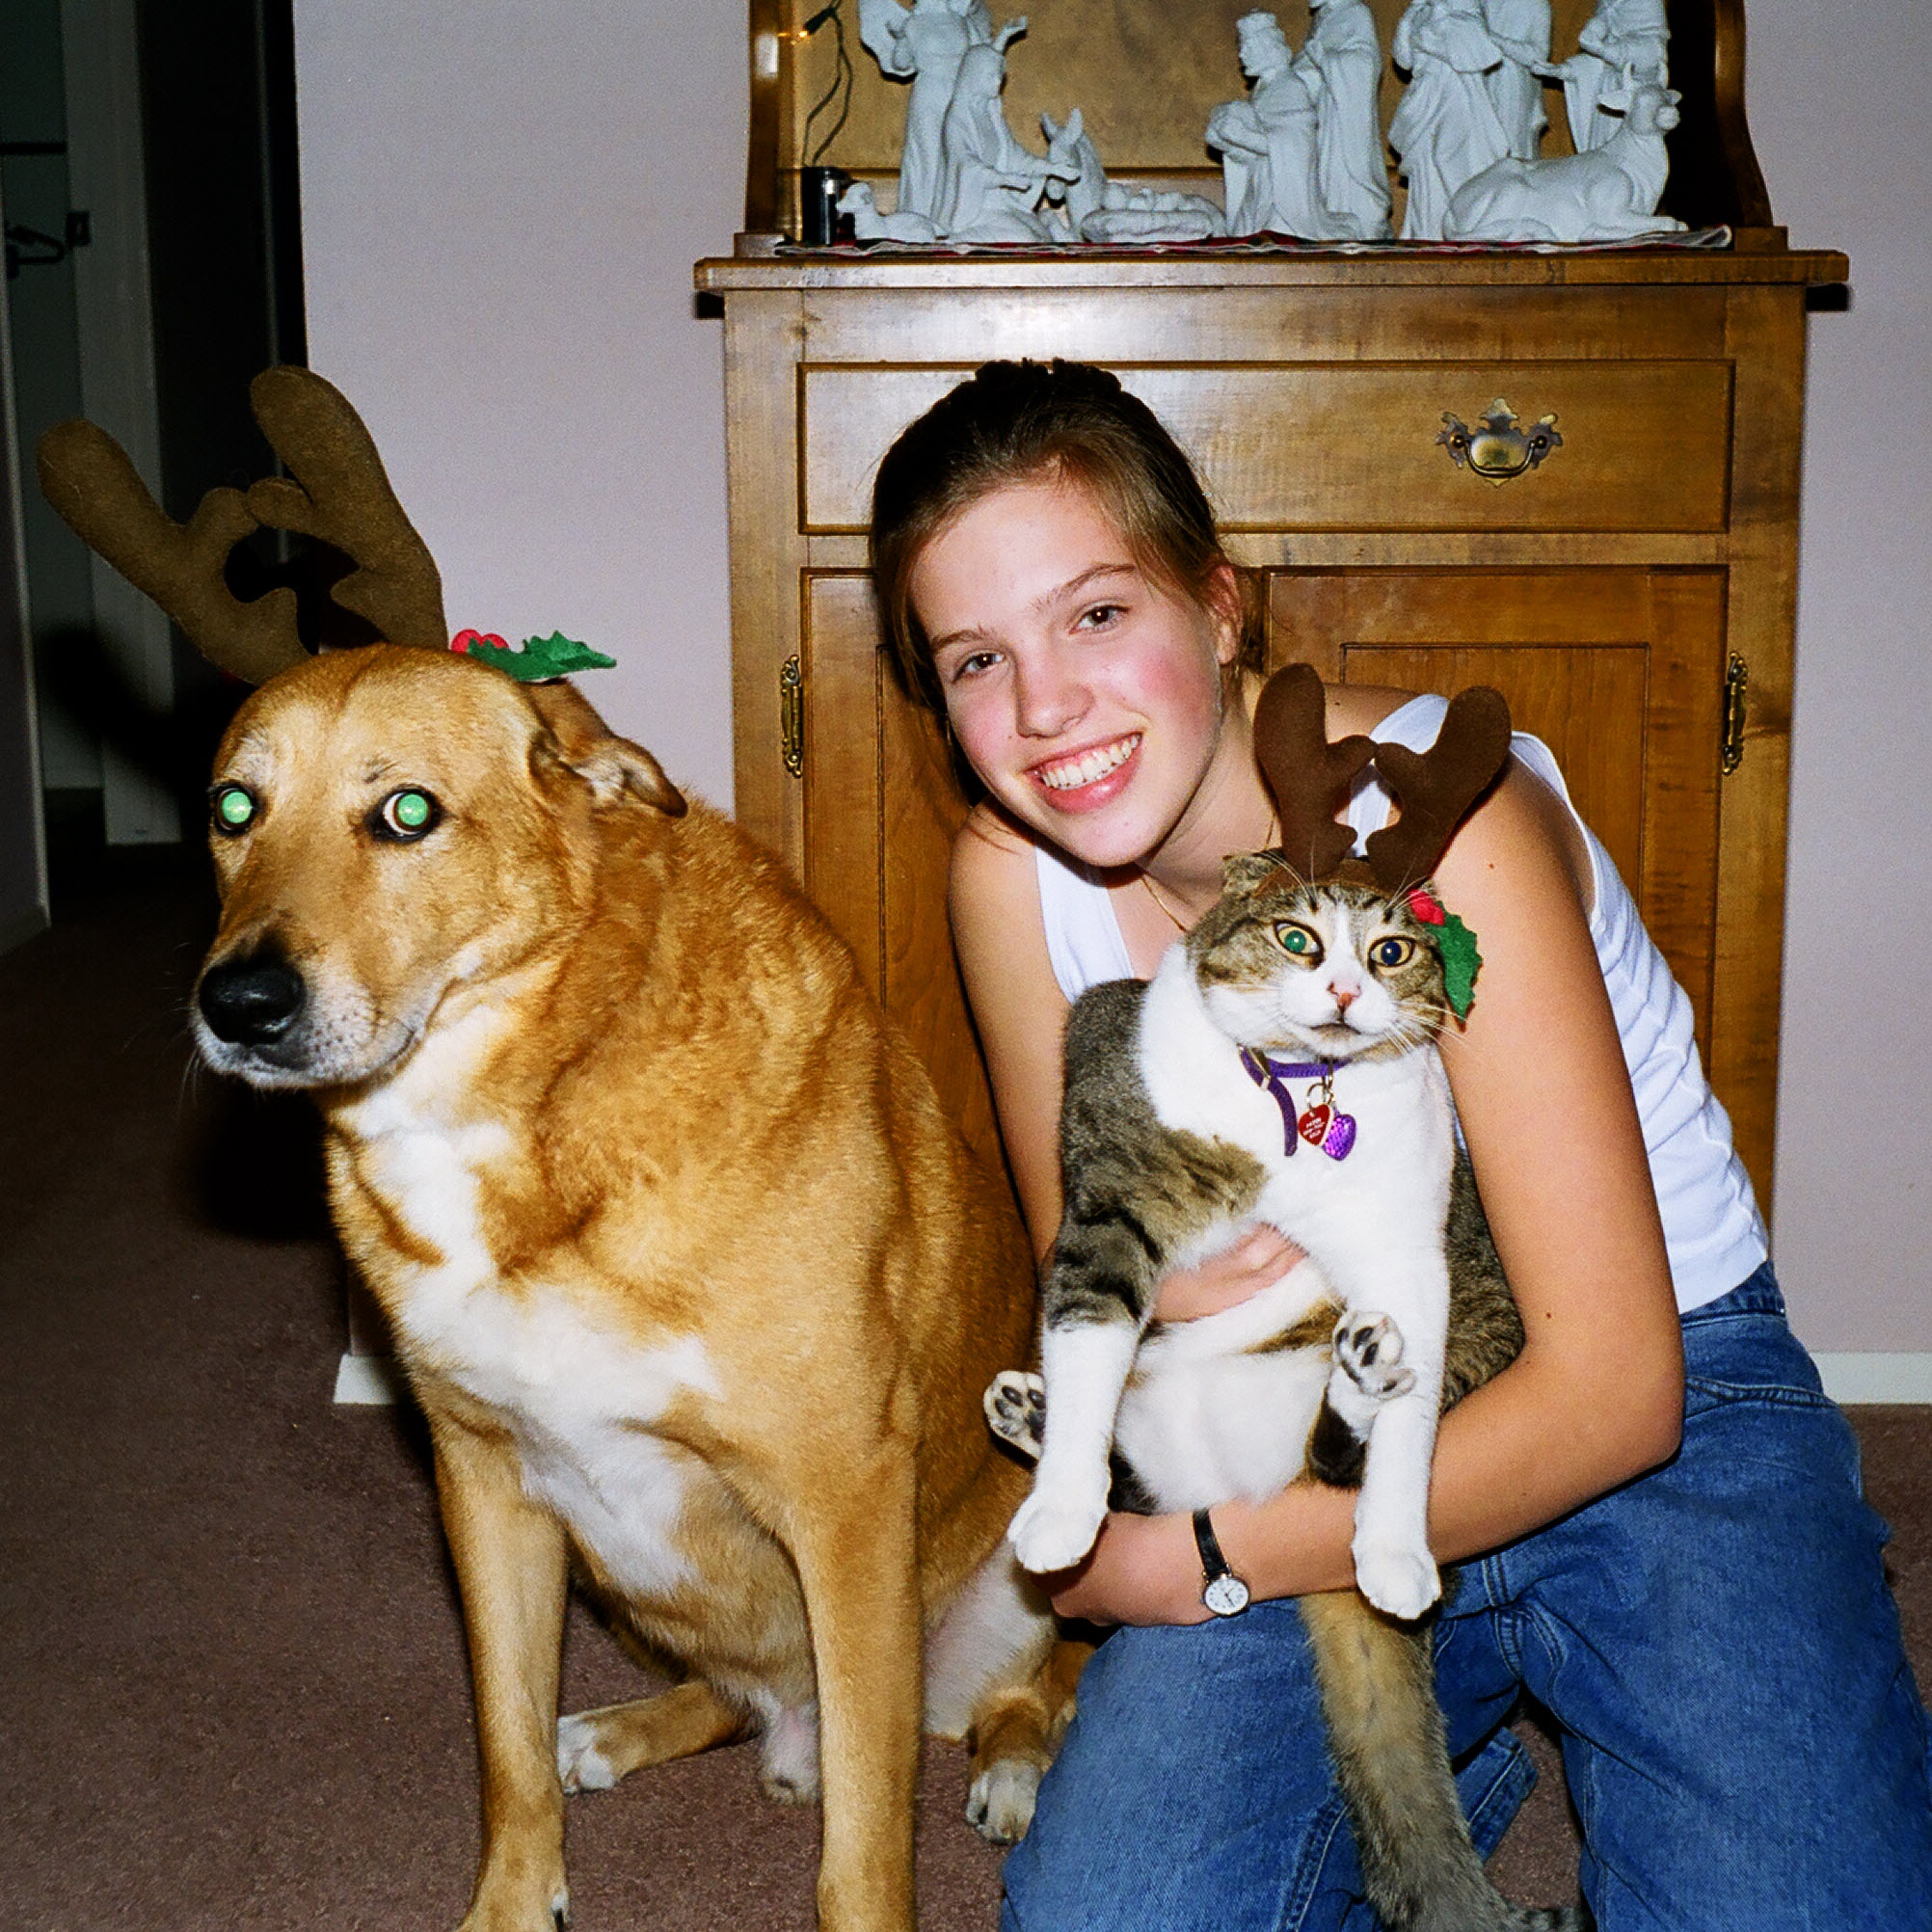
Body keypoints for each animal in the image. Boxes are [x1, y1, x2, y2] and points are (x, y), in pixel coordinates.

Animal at [190, 649, 1066, 1932]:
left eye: (407, 813)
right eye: (233, 809)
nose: (238, 1006)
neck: (531, 1105)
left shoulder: (845, 1493)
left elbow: (862, 1849)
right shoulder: (484, 1486)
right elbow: (504, 1751)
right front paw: (513, 1900)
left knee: (1031, 1696)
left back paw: (1011, 1771)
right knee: (730, 1696)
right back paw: (618, 1732)